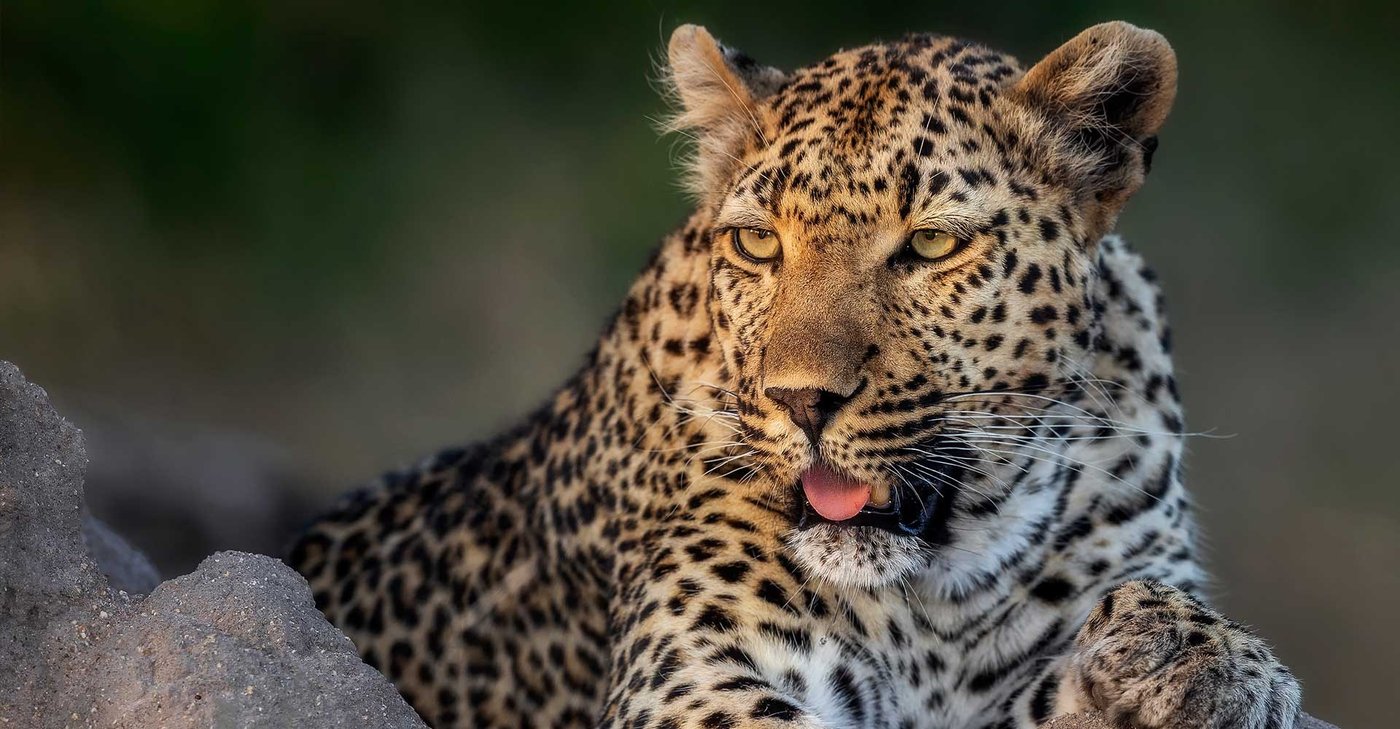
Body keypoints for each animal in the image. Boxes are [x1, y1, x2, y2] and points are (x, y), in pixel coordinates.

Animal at [289, 21, 1303, 729]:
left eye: (931, 245)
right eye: (755, 244)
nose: (801, 400)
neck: (946, 583)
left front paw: (1198, 657)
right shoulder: (692, 675)